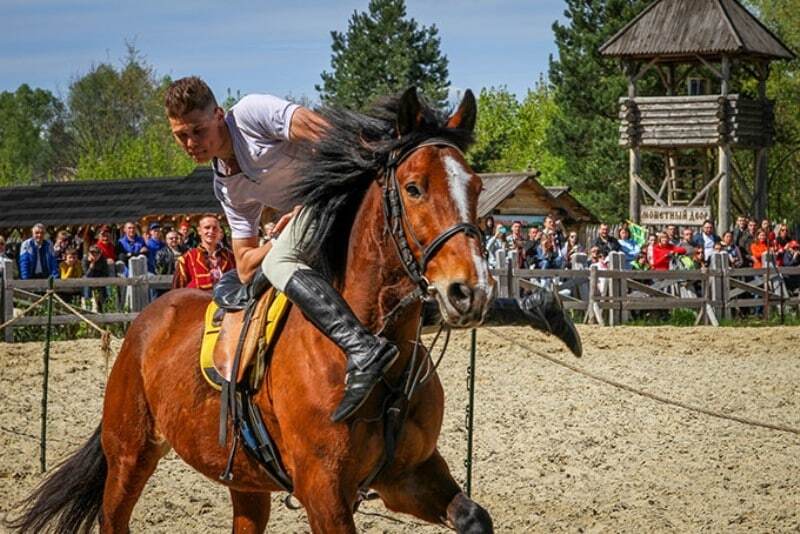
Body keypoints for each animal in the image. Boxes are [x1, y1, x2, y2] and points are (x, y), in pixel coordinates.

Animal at [9, 90, 496, 532]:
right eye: (414, 188)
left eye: (475, 186)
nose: (469, 290)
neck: (369, 349)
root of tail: (146, 320)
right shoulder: (324, 494)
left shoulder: (409, 474)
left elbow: (474, 517)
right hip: (129, 453)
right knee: (113, 518)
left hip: (243, 480)